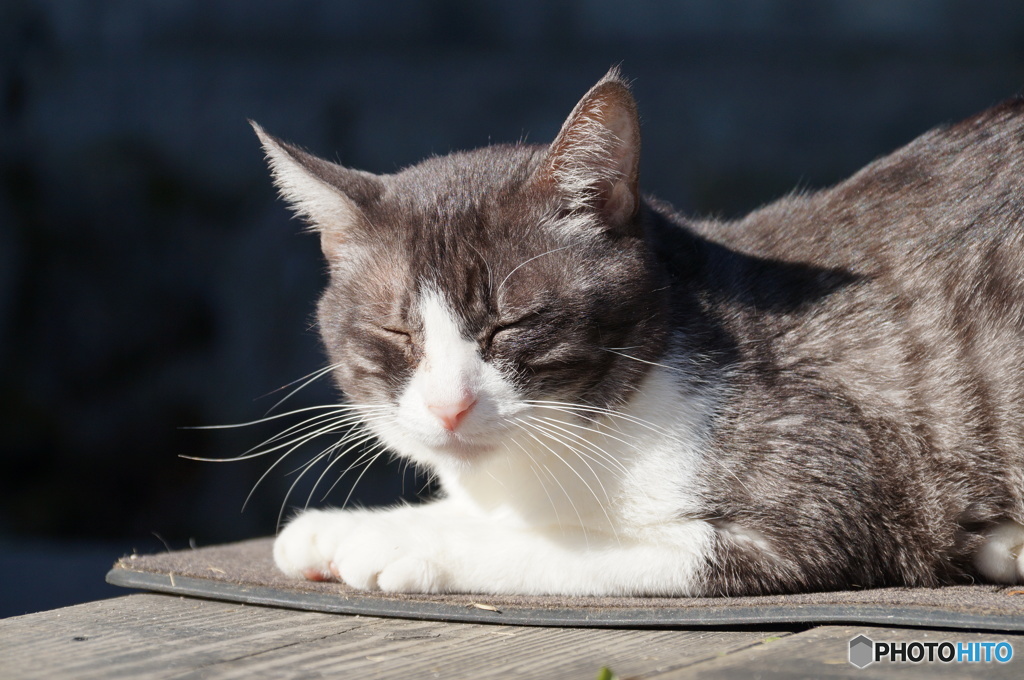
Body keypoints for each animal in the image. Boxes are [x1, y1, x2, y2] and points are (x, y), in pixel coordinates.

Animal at [251, 66, 1024, 593]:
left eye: (511, 324)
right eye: (398, 333)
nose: (449, 407)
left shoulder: (817, 504)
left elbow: (557, 549)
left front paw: (404, 548)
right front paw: (346, 527)